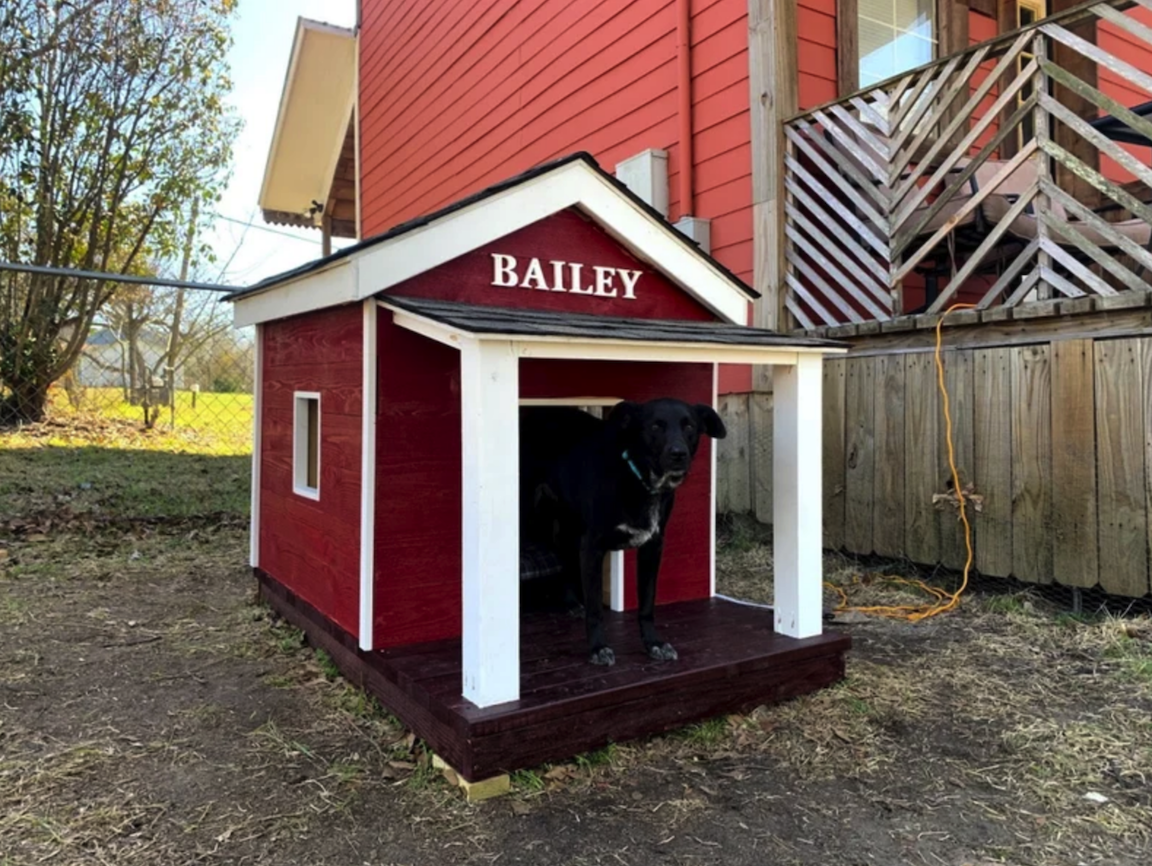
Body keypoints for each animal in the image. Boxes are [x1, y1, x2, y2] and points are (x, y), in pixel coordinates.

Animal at [520, 396, 723, 667]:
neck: (639, 480)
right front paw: (598, 647)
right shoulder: (592, 548)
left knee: (562, 549)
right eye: (655, 426)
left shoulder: (652, 549)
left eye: (689, 426)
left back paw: (571, 601)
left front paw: (653, 643)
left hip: (569, 518)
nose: (678, 454)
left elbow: (647, 604)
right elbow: (596, 608)